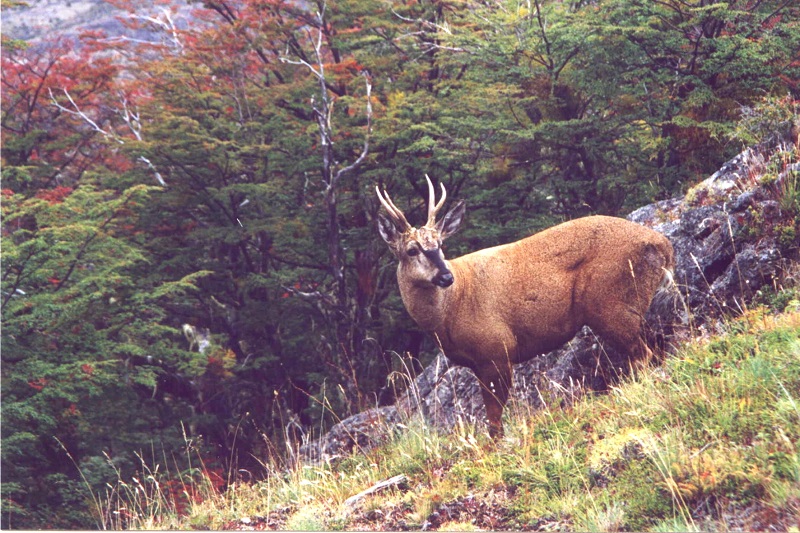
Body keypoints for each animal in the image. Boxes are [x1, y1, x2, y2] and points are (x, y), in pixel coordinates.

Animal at [376, 177, 676, 438]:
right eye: (412, 250)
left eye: (440, 245)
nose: (446, 277)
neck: (450, 310)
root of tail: (664, 245)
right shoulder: (479, 362)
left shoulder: (497, 348)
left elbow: (495, 420)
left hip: (611, 305)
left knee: (644, 355)